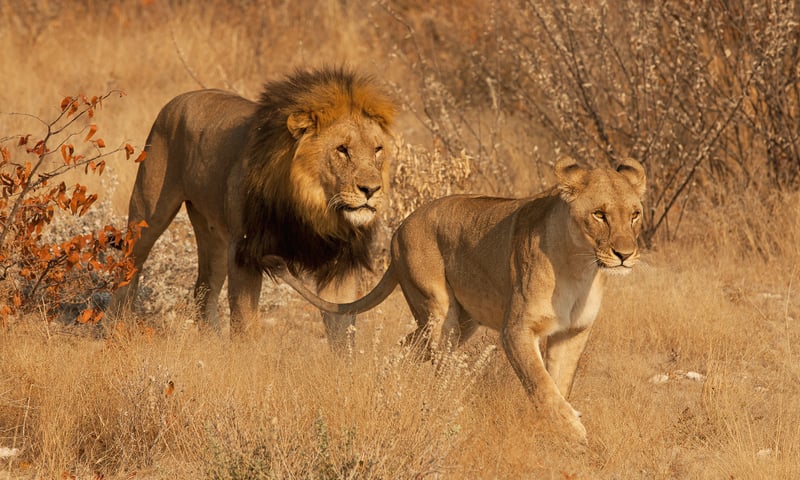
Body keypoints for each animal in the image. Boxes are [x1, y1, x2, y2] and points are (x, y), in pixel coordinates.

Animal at [109, 67, 396, 345]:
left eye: (377, 149)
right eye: (342, 149)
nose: (371, 190)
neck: (312, 209)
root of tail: (180, 98)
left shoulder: (339, 262)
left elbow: (342, 329)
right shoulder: (245, 251)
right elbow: (244, 323)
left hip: (212, 235)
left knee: (204, 289)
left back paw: (213, 344)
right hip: (148, 211)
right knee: (130, 265)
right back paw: (119, 328)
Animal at [263, 157, 646, 441]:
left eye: (635, 214)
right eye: (599, 214)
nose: (625, 255)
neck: (579, 265)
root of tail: (399, 229)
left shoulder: (572, 333)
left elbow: (559, 382)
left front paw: (559, 432)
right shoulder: (516, 330)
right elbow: (540, 383)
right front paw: (572, 428)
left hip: (462, 322)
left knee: (406, 348)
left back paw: (389, 382)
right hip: (439, 312)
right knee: (437, 365)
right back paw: (439, 402)